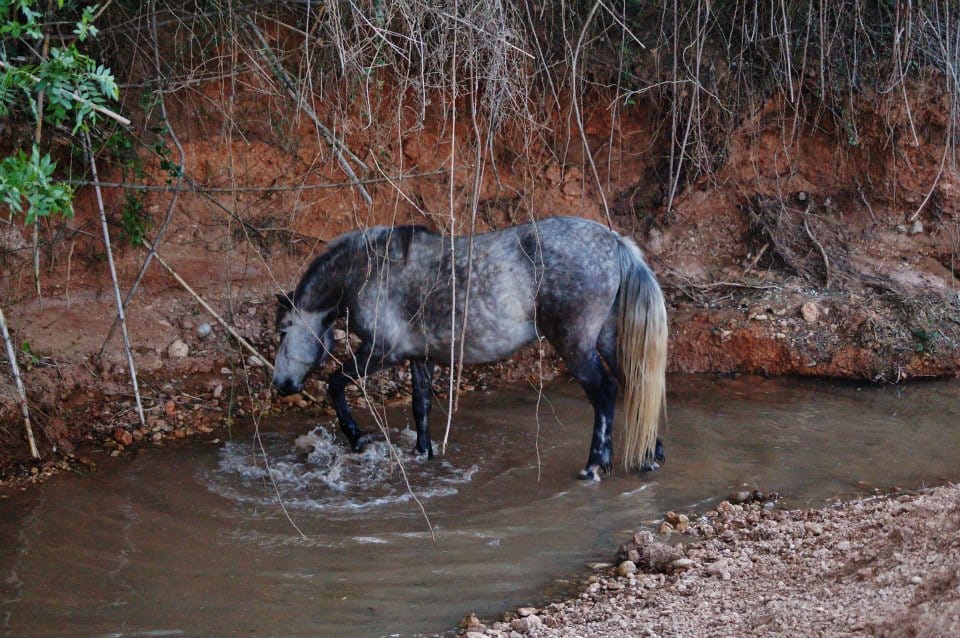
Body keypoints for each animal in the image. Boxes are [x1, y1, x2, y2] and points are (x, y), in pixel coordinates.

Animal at [272, 216, 668, 481]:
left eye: (282, 331)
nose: (281, 384)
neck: (367, 269)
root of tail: (614, 242)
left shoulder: (381, 352)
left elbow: (336, 384)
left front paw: (357, 438)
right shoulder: (420, 357)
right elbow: (421, 406)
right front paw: (423, 453)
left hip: (576, 344)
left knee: (604, 391)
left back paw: (594, 466)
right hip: (608, 340)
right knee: (634, 385)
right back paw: (649, 455)